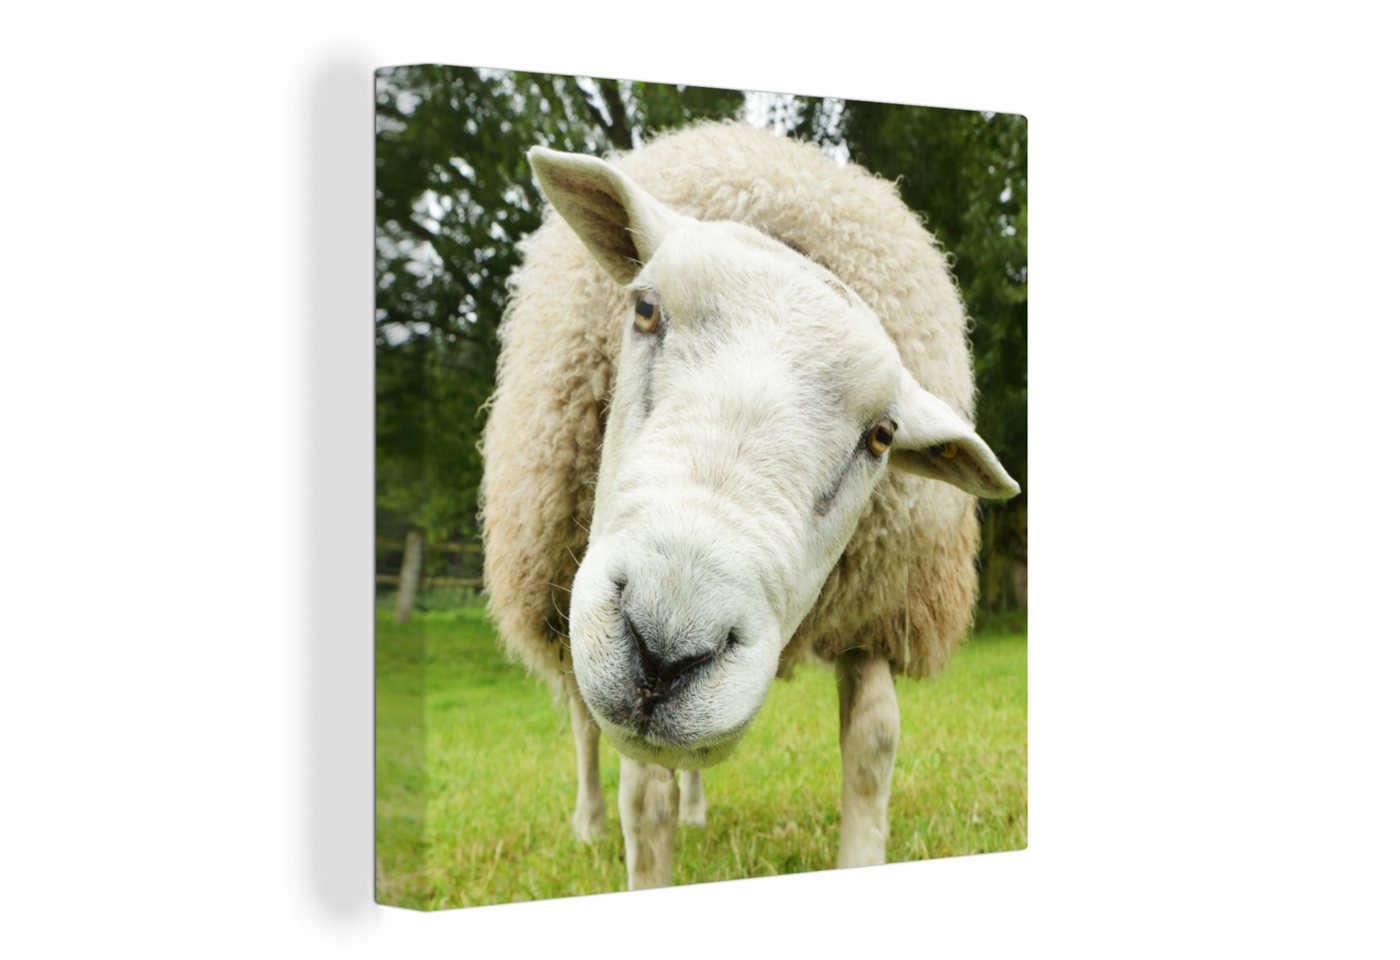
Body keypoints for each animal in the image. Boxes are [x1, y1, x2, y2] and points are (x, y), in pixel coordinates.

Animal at [481, 120, 1019, 890]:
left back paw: (696, 809)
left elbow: (874, 744)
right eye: (645, 310)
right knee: (584, 720)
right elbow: (642, 799)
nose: (665, 652)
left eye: (882, 435)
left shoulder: (878, 609)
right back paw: (588, 824)